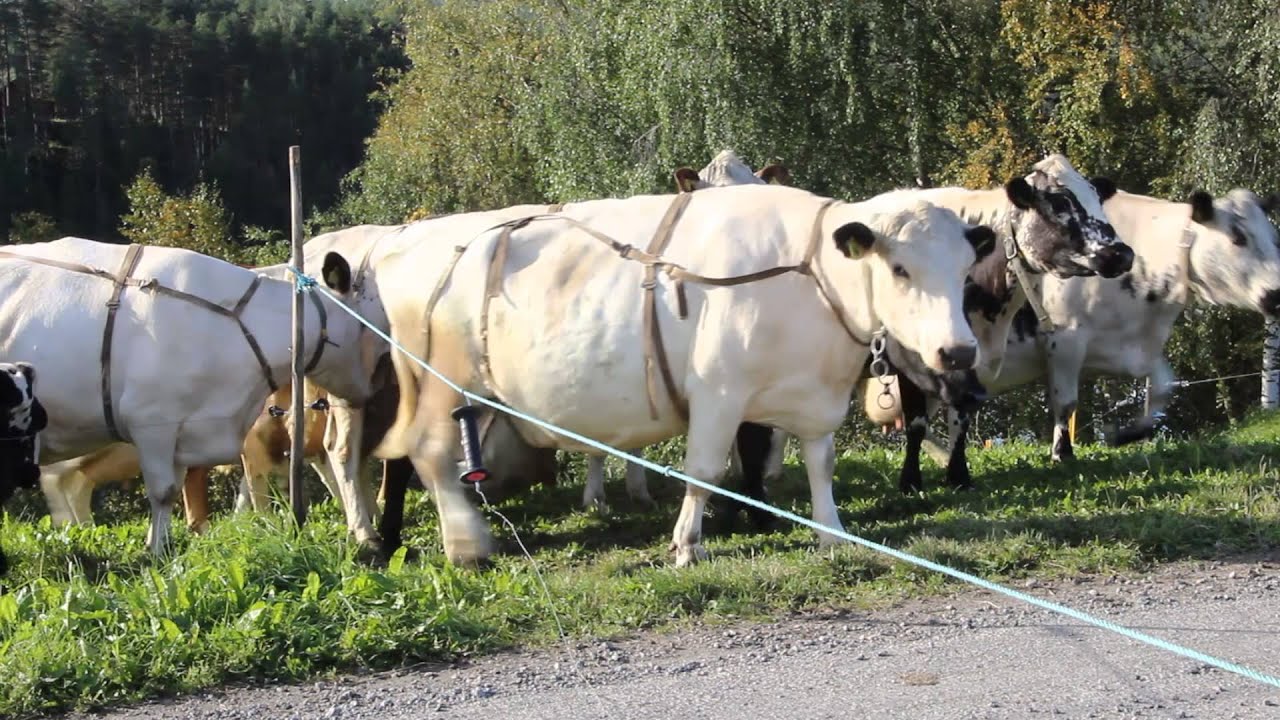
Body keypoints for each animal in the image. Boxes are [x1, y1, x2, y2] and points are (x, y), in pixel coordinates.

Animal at [0, 238, 373, 555]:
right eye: (364, 325)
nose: (369, 389)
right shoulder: (153, 422)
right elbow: (165, 490)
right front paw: (156, 553)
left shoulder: (188, 429)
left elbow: (180, 488)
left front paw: (163, 546)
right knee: (61, 485)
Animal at [372, 181, 998, 568]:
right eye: (900, 268)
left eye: (966, 268)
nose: (958, 352)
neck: (809, 273)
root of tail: (404, 242)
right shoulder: (719, 392)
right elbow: (704, 471)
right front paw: (687, 546)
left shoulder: (815, 400)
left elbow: (821, 467)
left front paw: (832, 534)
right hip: (439, 384)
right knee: (430, 456)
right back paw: (465, 542)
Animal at [870, 185, 1280, 492]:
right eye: (1238, 238)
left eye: (1273, 235)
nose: (1276, 294)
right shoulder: (1065, 340)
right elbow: (1065, 402)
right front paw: (1062, 454)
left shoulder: (1130, 348)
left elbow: (1163, 387)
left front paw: (1128, 433)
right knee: (919, 419)